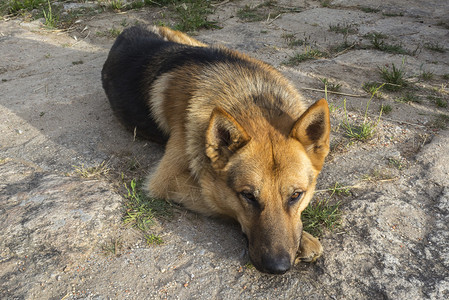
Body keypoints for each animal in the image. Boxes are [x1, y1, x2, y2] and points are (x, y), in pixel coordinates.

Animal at [102, 25, 332, 274]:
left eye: (296, 195)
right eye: (248, 196)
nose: (277, 267)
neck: (250, 96)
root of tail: (130, 28)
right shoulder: (166, 181)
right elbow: (217, 199)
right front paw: (305, 239)